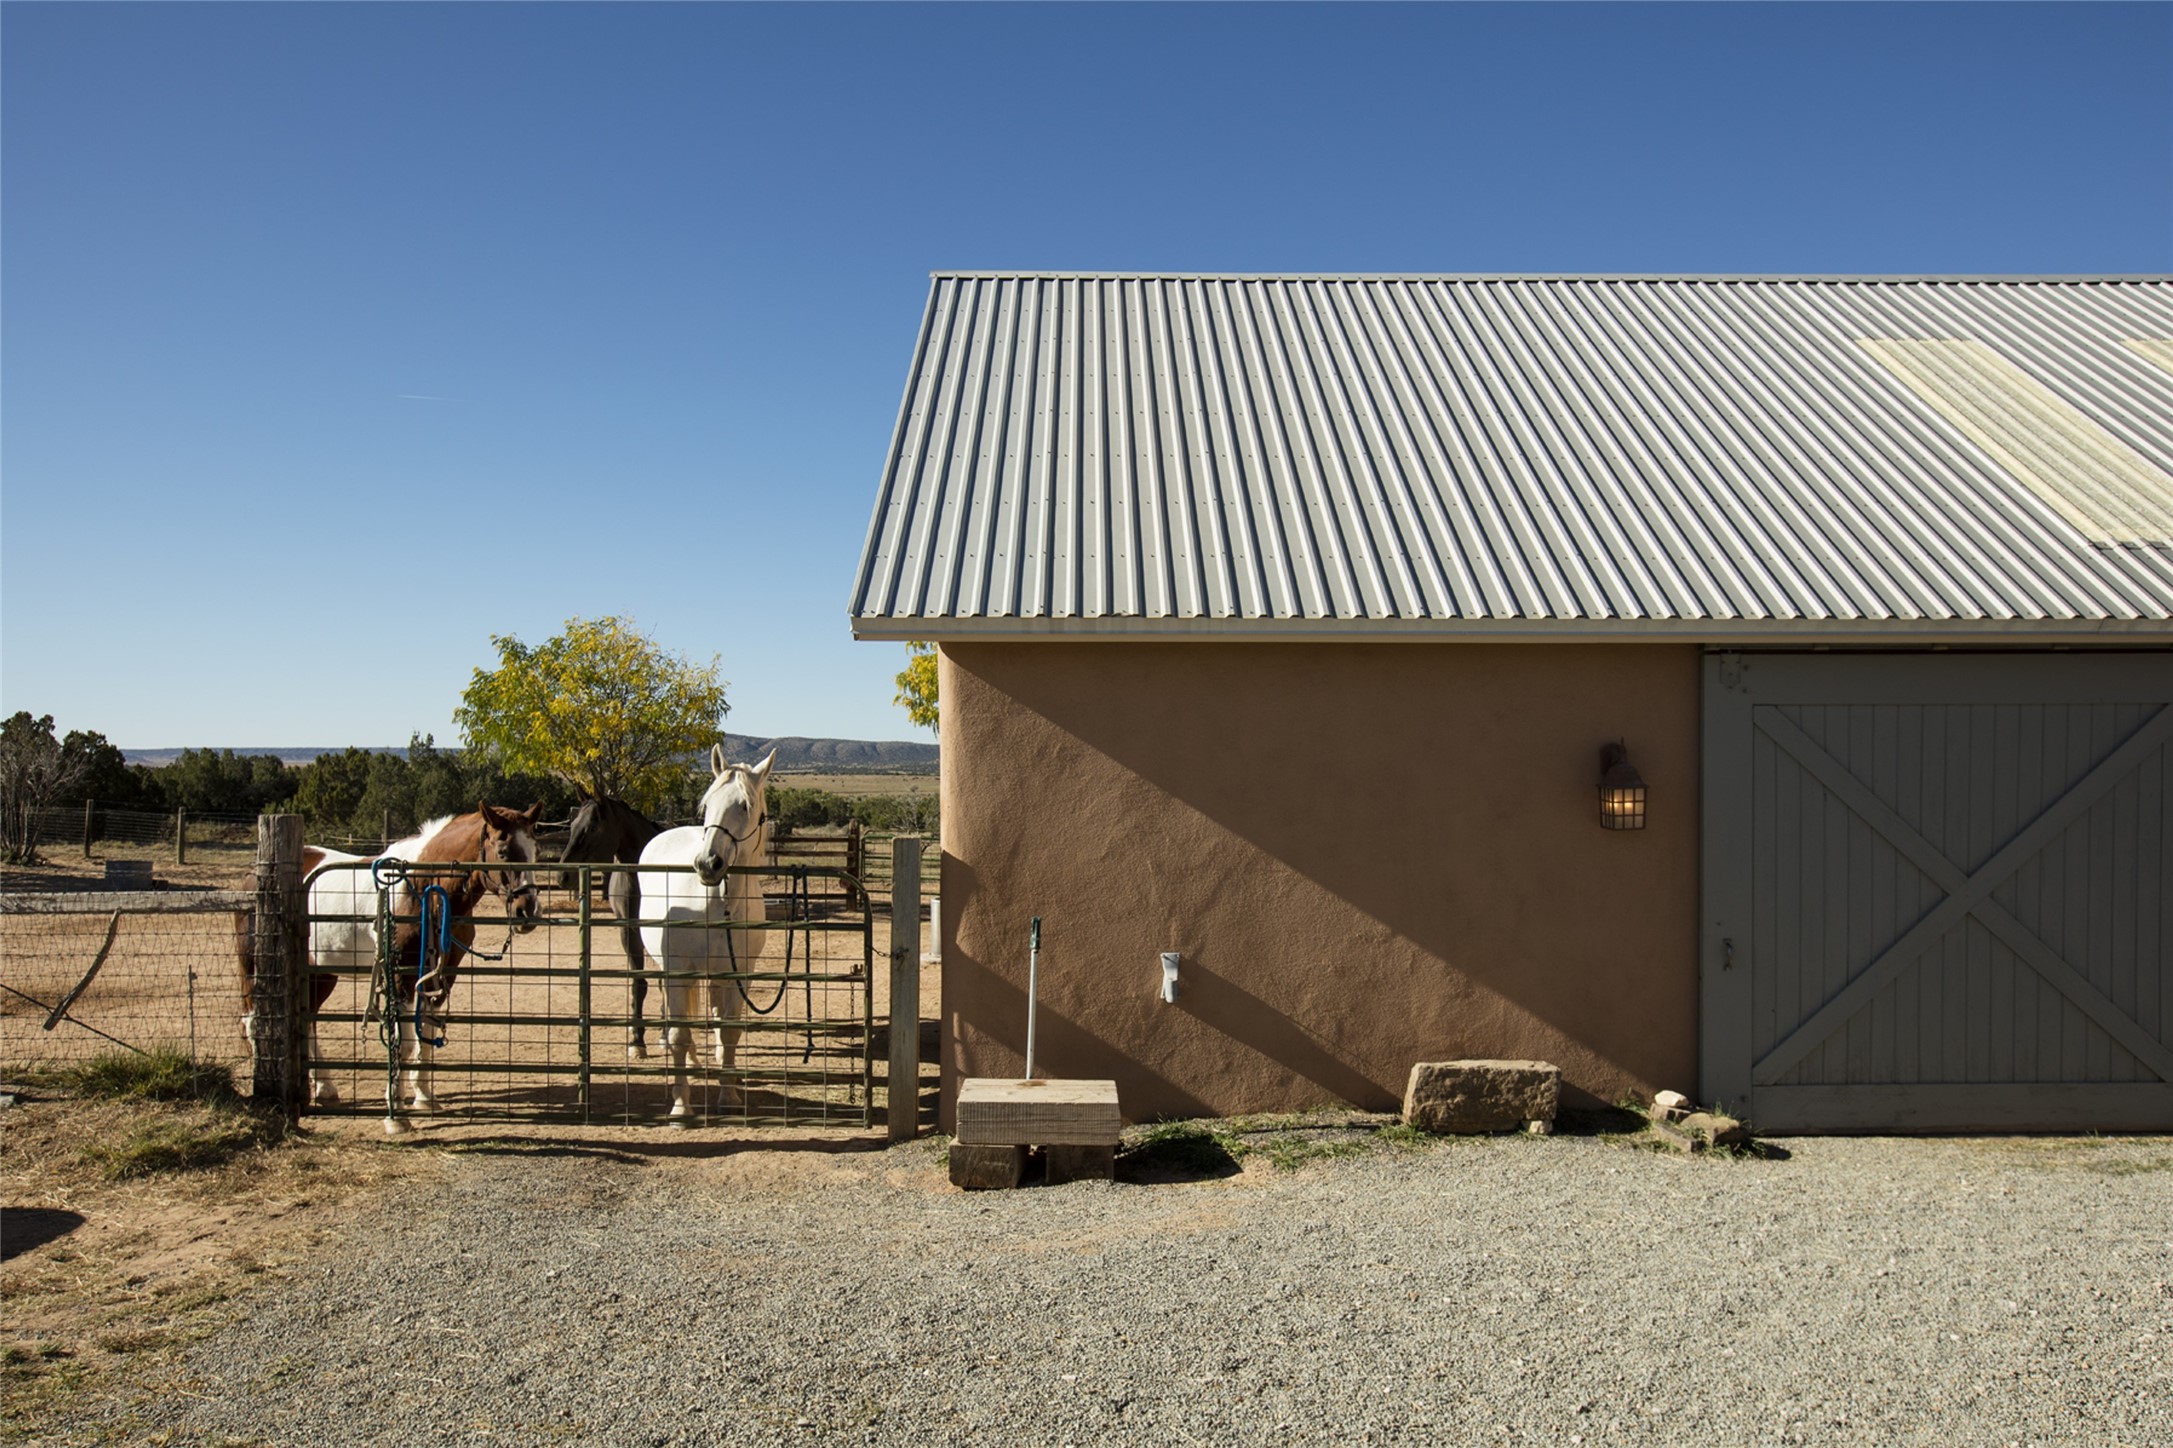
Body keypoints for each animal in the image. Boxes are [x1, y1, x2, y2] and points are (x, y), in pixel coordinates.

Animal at [236, 800, 538, 1130]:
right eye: (503, 851)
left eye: (535, 850)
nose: (527, 912)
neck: (423, 890)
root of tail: (253, 875)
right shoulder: (399, 974)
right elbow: (402, 1043)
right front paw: (396, 1114)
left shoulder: (440, 975)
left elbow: (426, 1034)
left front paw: (424, 1096)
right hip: (255, 966)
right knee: (253, 1020)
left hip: (320, 972)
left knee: (308, 1020)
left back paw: (324, 1088)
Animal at [634, 743, 777, 1113]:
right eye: (707, 804)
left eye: (746, 806)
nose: (707, 863)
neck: (716, 904)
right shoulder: (678, 971)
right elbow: (679, 1035)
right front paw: (681, 1104)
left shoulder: (738, 974)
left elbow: (729, 1032)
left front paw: (729, 1095)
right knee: (678, 1022)